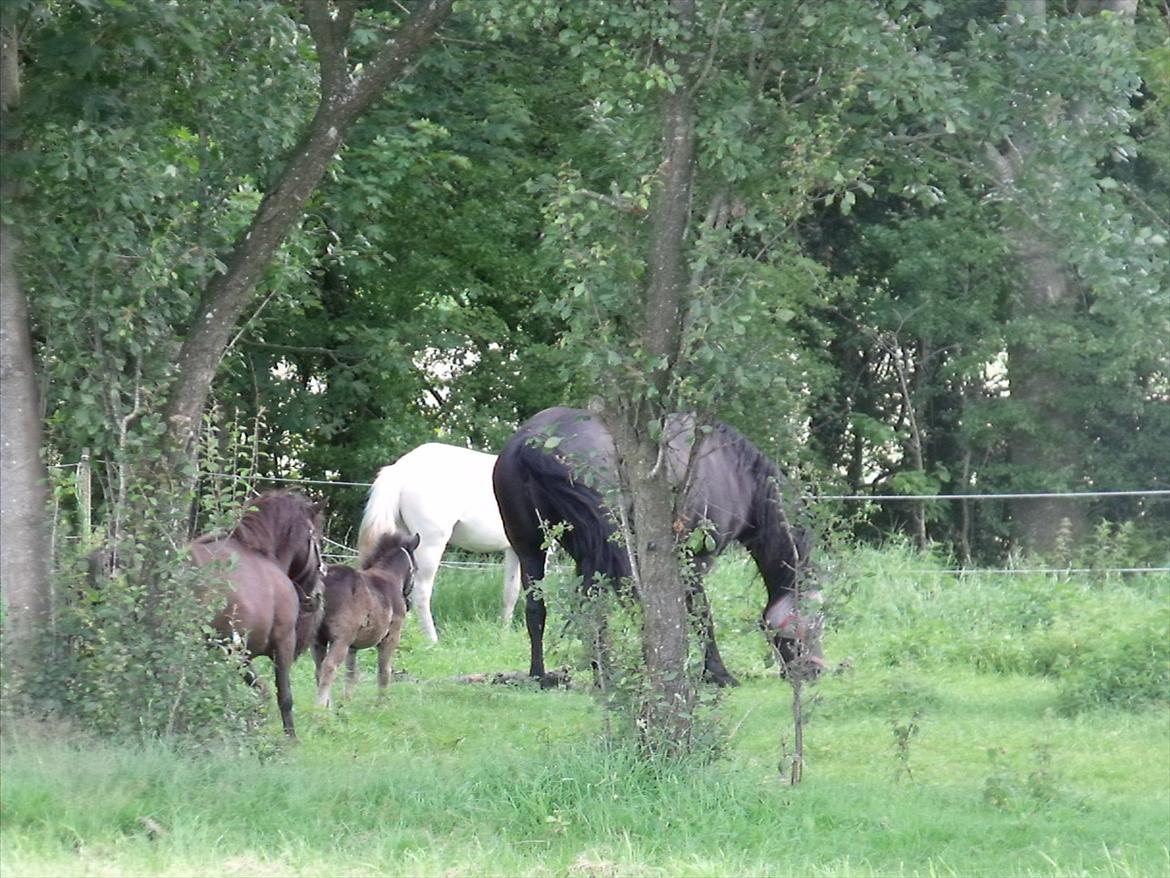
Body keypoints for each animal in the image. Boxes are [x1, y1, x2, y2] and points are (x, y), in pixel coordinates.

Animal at [189, 491, 325, 739]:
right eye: (317, 540)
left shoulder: (238, 653)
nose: (317, 596)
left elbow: (260, 692)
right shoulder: (282, 643)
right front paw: (290, 738)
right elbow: (282, 696)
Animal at [311, 529, 421, 707]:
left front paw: (346, 700)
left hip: (317, 640)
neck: (389, 577)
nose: (409, 602)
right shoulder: (391, 638)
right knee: (329, 667)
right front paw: (382, 703)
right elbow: (384, 671)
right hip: (340, 640)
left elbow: (351, 672)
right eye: (416, 569)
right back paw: (320, 708)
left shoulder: (353, 646)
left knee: (319, 669)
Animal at [355, 442, 521, 641]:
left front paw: (504, 633)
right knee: (421, 592)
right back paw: (432, 639)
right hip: (430, 546)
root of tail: (400, 470)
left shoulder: (514, 550)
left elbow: (510, 592)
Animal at [493, 409, 823, 693]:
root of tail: (533, 443)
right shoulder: (696, 559)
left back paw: (547, 675)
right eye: (818, 620)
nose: (815, 669)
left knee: (540, 609)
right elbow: (701, 614)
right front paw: (717, 673)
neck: (733, 471)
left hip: (532, 548)